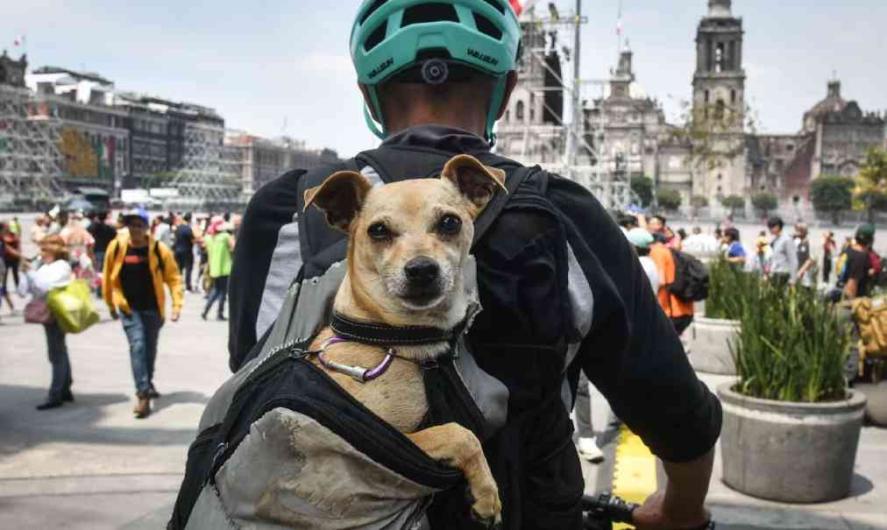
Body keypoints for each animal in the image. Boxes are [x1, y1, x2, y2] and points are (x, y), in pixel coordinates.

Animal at [302, 154, 502, 524]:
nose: (421, 269)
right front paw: (487, 494)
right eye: (378, 230)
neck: (397, 340)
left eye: (450, 223)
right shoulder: (391, 439)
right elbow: (461, 434)